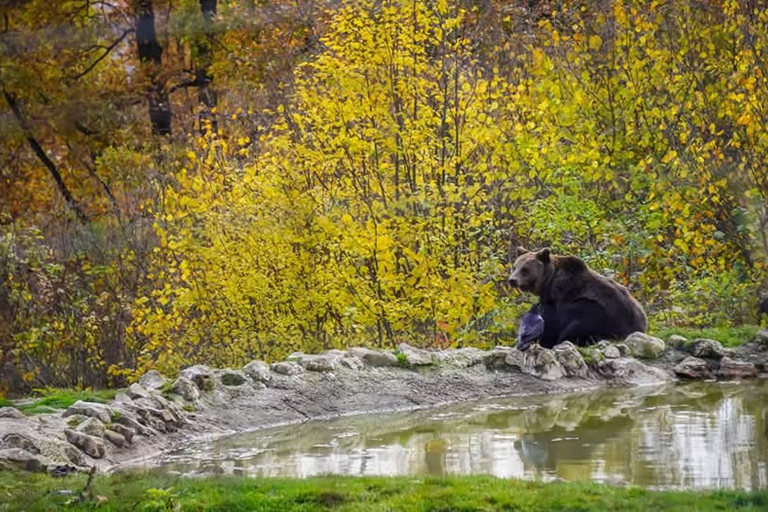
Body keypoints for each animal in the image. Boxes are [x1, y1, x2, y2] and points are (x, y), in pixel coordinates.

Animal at [508, 247, 647, 349]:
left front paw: (546, 342)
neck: (548, 280)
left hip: (603, 316)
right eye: (514, 267)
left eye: (525, 269)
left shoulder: (559, 293)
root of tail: (641, 325)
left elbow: (551, 321)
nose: (512, 280)